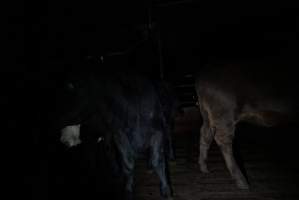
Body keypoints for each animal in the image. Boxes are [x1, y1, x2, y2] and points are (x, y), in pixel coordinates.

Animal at [58, 65, 175, 199]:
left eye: (68, 88)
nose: (63, 139)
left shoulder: (157, 131)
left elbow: (158, 160)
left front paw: (166, 190)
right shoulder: (119, 135)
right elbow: (128, 163)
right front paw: (128, 190)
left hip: (168, 122)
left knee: (169, 137)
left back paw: (171, 156)